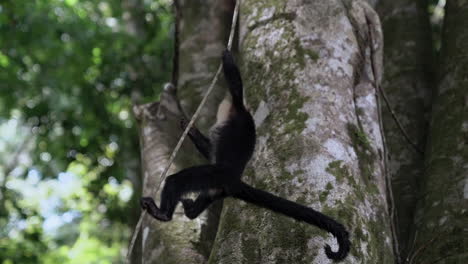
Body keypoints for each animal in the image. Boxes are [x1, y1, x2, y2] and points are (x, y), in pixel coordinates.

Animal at [141, 50, 350, 260]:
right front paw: (190, 129)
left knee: (177, 181)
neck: (236, 109)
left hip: (215, 175)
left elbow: (235, 81)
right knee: (198, 201)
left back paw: (163, 214)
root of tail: (234, 181)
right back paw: (189, 209)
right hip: (218, 187)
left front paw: (227, 56)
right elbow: (210, 149)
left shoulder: (237, 106)